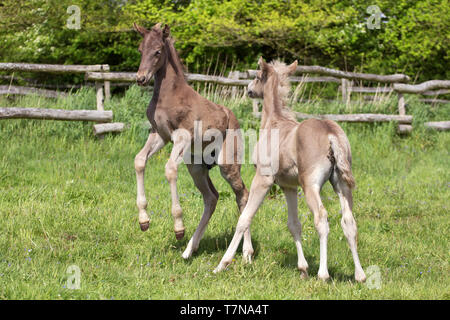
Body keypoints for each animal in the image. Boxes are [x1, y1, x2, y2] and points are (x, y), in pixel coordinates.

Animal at [214, 58, 366, 282]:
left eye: (257, 76)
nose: (249, 89)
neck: (274, 121)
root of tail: (331, 133)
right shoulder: (289, 186)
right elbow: (294, 224)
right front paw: (302, 269)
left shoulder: (264, 179)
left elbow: (244, 218)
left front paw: (222, 264)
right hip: (341, 184)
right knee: (349, 221)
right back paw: (360, 275)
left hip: (311, 185)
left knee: (321, 218)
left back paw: (323, 274)